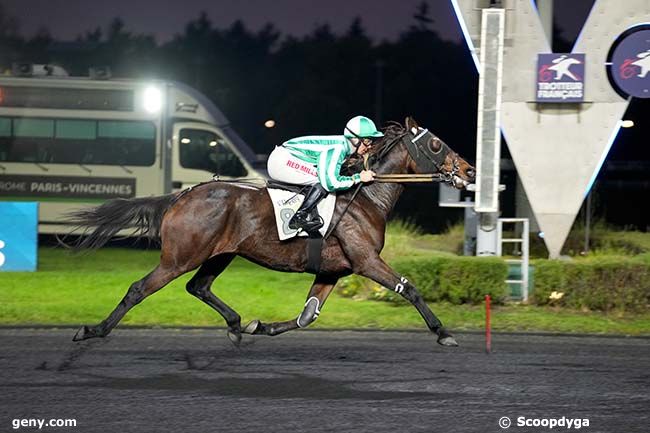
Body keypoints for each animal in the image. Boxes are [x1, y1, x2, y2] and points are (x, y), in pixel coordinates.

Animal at [68, 117, 474, 348]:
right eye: (435, 143)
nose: (469, 170)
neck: (366, 198)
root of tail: (181, 195)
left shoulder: (332, 270)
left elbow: (307, 316)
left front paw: (260, 326)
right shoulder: (366, 261)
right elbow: (410, 289)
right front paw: (443, 332)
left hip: (220, 254)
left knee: (199, 287)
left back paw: (236, 325)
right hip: (179, 257)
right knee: (140, 289)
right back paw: (93, 331)